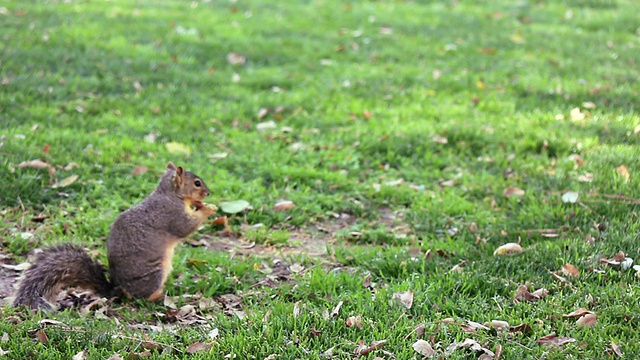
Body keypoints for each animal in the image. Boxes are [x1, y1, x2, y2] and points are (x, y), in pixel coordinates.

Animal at [11, 162, 218, 310]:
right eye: (197, 183)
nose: (208, 193)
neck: (170, 193)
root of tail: (116, 289)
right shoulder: (171, 214)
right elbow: (185, 228)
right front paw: (209, 209)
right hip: (155, 273)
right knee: (140, 298)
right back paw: (158, 296)